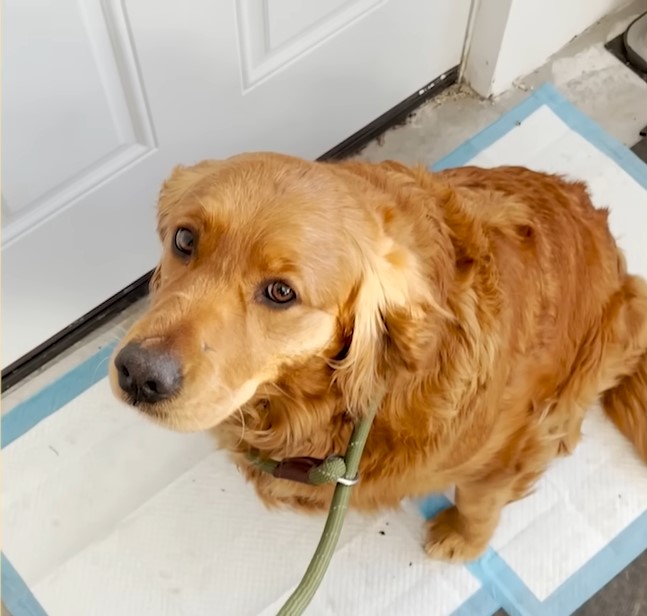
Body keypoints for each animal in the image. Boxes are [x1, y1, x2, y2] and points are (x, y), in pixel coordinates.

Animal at [111, 152, 647, 560]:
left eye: (281, 292)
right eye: (184, 239)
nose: (139, 375)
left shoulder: (505, 453)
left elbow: (480, 500)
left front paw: (461, 540)